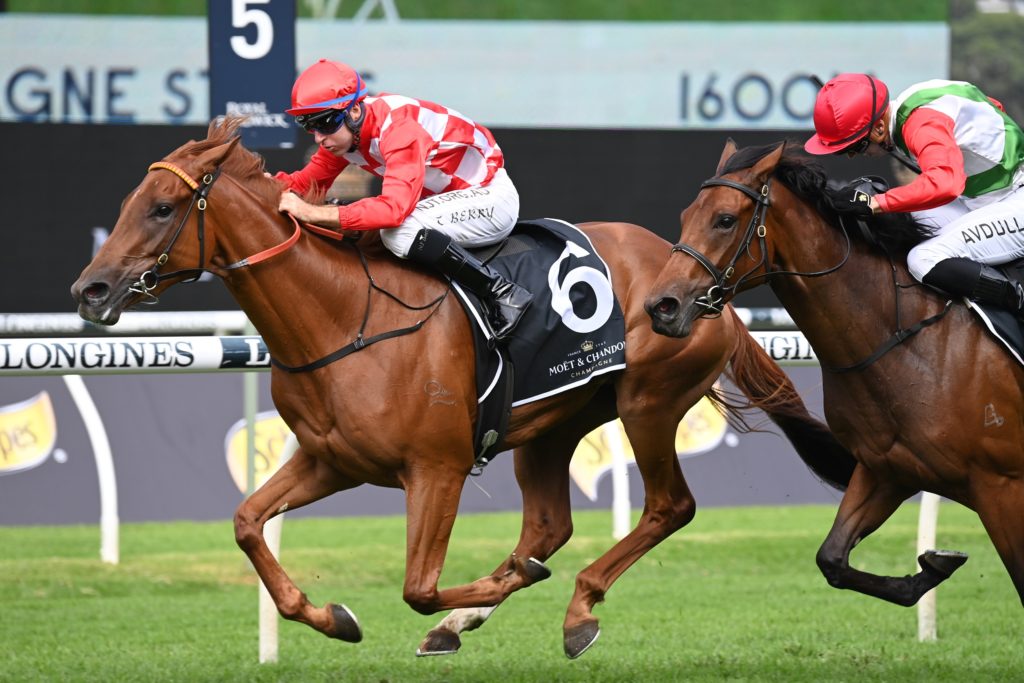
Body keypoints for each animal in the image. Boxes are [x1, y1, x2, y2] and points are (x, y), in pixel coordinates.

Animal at [72, 118, 855, 658]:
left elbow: (417, 587)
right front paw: (334, 617)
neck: (343, 315)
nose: (91, 289)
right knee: (549, 525)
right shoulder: (331, 460)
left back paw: (575, 608)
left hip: (648, 402)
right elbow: (245, 522)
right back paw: (485, 607)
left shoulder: (436, 468)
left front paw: (487, 594)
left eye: (163, 208)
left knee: (669, 506)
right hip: (553, 423)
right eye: (131, 201)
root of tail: (698, 277)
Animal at [645, 138, 1024, 608]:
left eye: (725, 219)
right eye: (685, 217)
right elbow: (833, 558)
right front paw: (932, 567)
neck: (905, 338)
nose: (662, 306)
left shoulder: (1002, 486)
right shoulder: (889, 469)